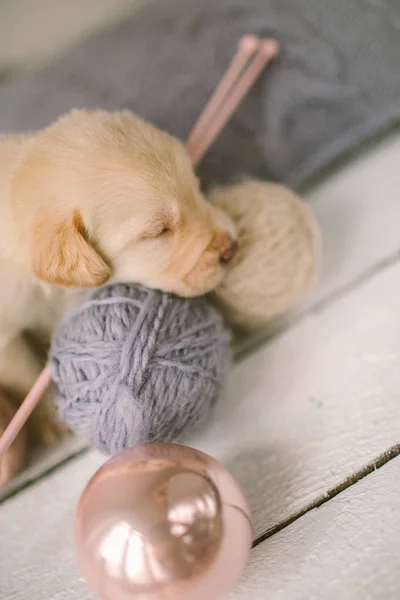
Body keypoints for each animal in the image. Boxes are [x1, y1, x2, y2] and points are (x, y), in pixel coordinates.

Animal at [0, 106, 238, 482]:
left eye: (196, 187)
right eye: (158, 232)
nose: (233, 247)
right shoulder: (6, 333)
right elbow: (24, 373)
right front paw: (49, 419)